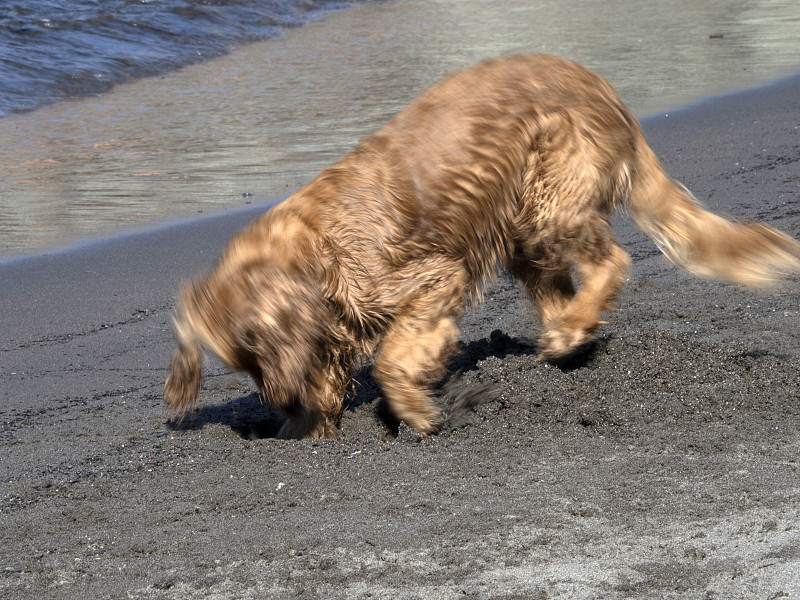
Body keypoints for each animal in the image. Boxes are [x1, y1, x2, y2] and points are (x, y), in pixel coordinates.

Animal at [164, 55, 800, 440]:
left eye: (258, 346)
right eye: (243, 362)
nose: (288, 416)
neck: (315, 251)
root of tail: (604, 88)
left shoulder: (433, 275)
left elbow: (392, 357)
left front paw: (416, 410)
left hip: (549, 202)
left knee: (610, 263)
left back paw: (569, 331)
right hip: (524, 228)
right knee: (561, 288)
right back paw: (566, 335)